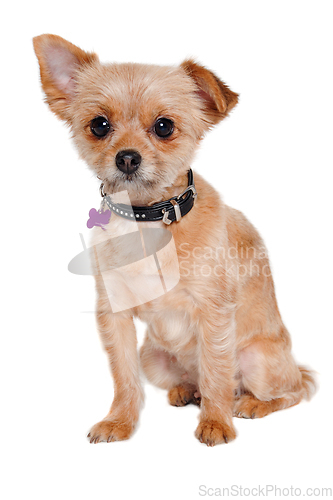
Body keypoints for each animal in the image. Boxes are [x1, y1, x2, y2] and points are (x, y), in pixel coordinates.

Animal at [32, 34, 316, 446]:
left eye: (164, 126)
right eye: (99, 125)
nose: (127, 158)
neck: (147, 220)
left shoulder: (214, 313)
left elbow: (216, 371)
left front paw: (215, 423)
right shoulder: (114, 316)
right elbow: (124, 378)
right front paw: (119, 421)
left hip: (258, 361)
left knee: (290, 390)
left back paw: (250, 404)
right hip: (154, 357)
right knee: (191, 380)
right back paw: (186, 390)